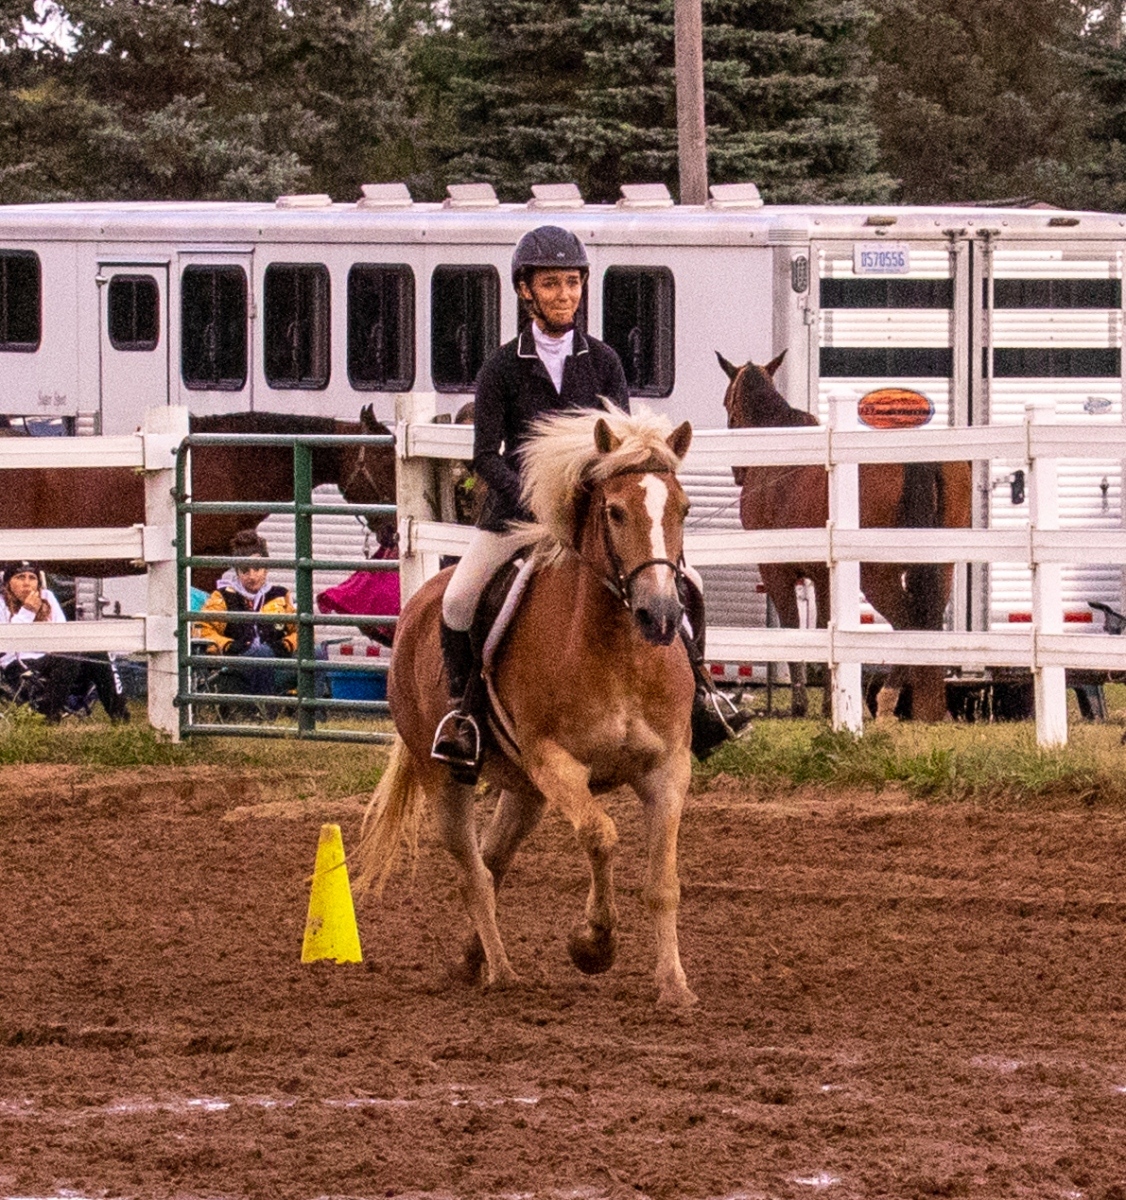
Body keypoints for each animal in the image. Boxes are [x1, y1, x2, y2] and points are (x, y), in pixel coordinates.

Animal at [353, 405, 699, 1009]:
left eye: (682, 508)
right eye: (614, 511)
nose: (659, 614)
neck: (621, 653)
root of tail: (419, 603)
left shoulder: (666, 769)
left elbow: (663, 884)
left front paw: (674, 987)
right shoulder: (555, 761)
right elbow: (600, 835)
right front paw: (593, 944)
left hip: (524, 792)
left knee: (494, 863)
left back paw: (470, 959)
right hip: (447, 779)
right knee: (473, 874)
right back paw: (500, 972)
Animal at [718, 351, 973, 722]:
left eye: (728, 404)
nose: (738, 473)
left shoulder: (776, 570)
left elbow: (794, 627)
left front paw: (801, 704)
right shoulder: (825, 576)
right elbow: (826, 625)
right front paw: (829, 702)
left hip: (877, 574)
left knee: (908, 622)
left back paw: (885, 700)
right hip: (940, 568)